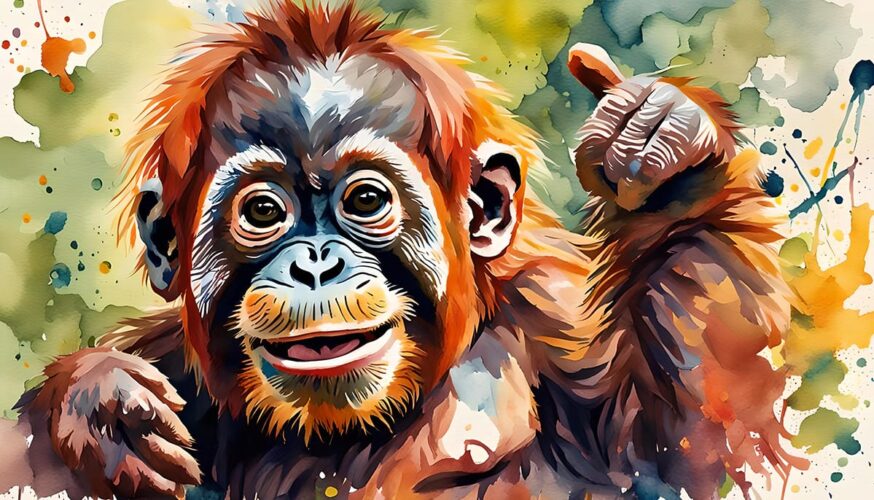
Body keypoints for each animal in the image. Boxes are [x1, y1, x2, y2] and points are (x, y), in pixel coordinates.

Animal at [3, 2, 802, 498]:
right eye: (263, 212)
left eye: (364, 202)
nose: (315, 263)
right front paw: (101, 408)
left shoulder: (565, 330)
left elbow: (694, 453)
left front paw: (665, 160)